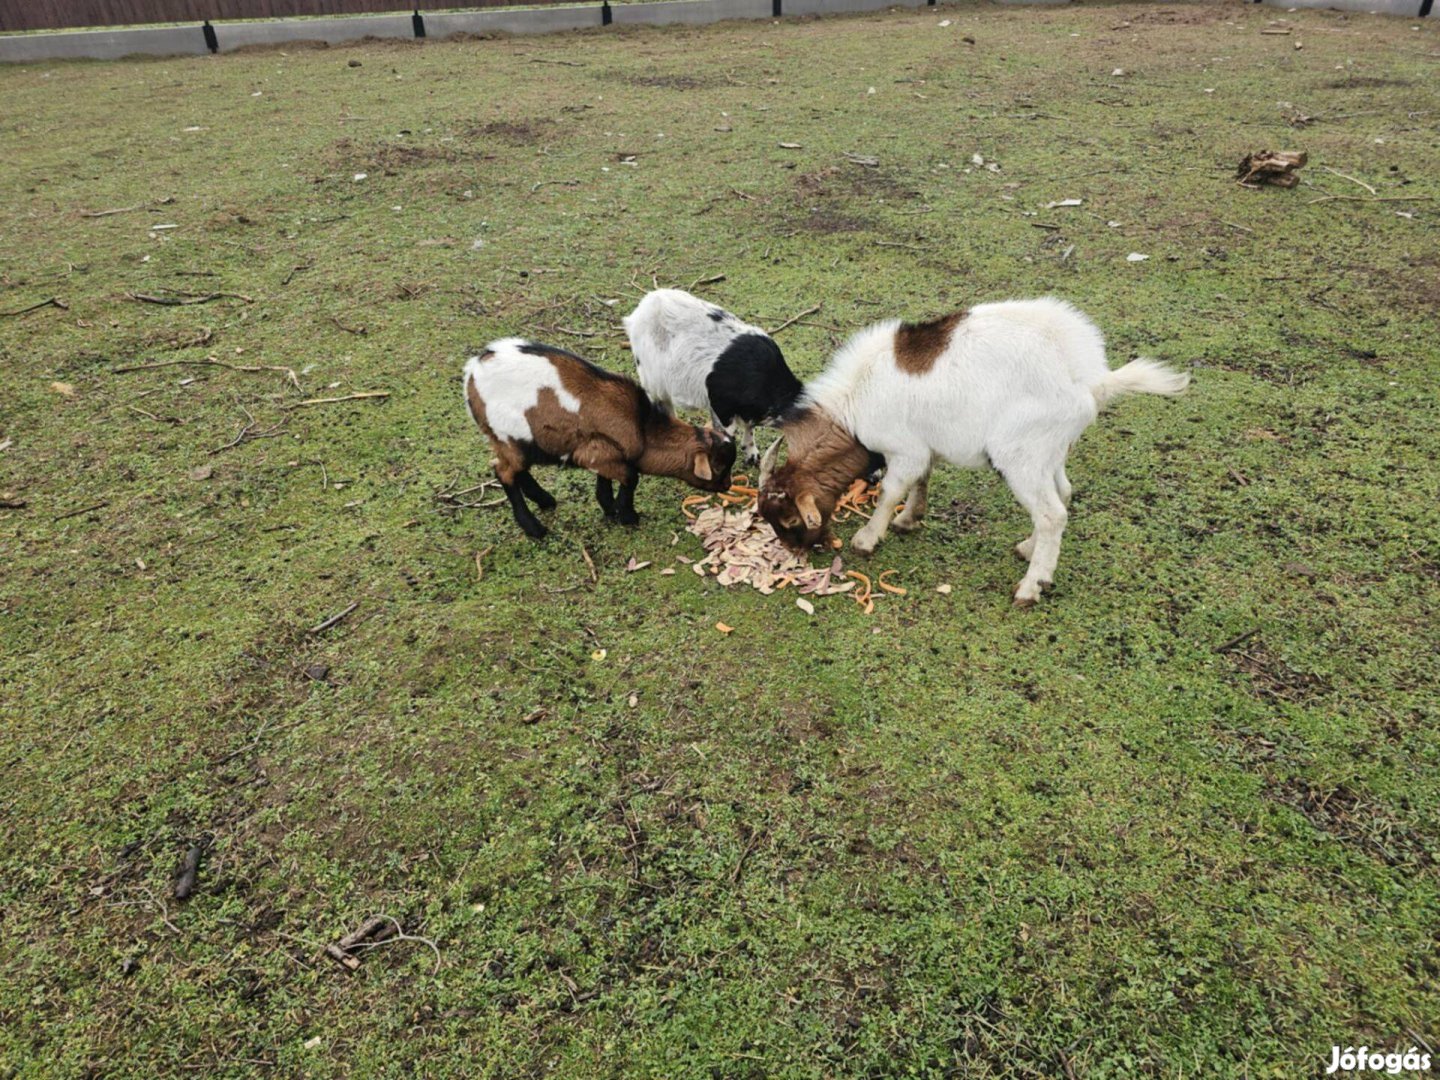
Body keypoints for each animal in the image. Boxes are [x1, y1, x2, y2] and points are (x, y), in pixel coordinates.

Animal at [760, 300, 1186, 604]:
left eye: (791, 519)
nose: (798, 554)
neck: (854, 401)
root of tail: (1090, 381)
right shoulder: (925, 448)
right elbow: (921, 481)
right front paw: (909, 520)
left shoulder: (905, 449)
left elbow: (890, 492)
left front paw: (867, 539)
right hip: (1051, 452)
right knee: (1062, 495)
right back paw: (1027, 549)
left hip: (1020, 455)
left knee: (1052, 514)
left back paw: (1031, 587)